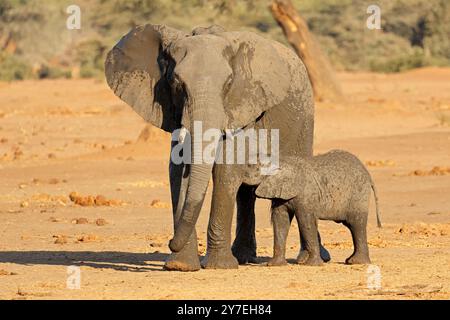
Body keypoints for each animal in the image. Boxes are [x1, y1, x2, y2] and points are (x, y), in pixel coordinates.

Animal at [106, 23, 330, 272]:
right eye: (176, 83)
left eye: (229, 83)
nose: (170, 242)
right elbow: (176, 170)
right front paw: (180, 266)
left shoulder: (241, 104)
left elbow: (226, 169)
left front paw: (218, 266)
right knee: (246, 193)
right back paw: (243, 256)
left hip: (304, 116)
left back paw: (309, 258)